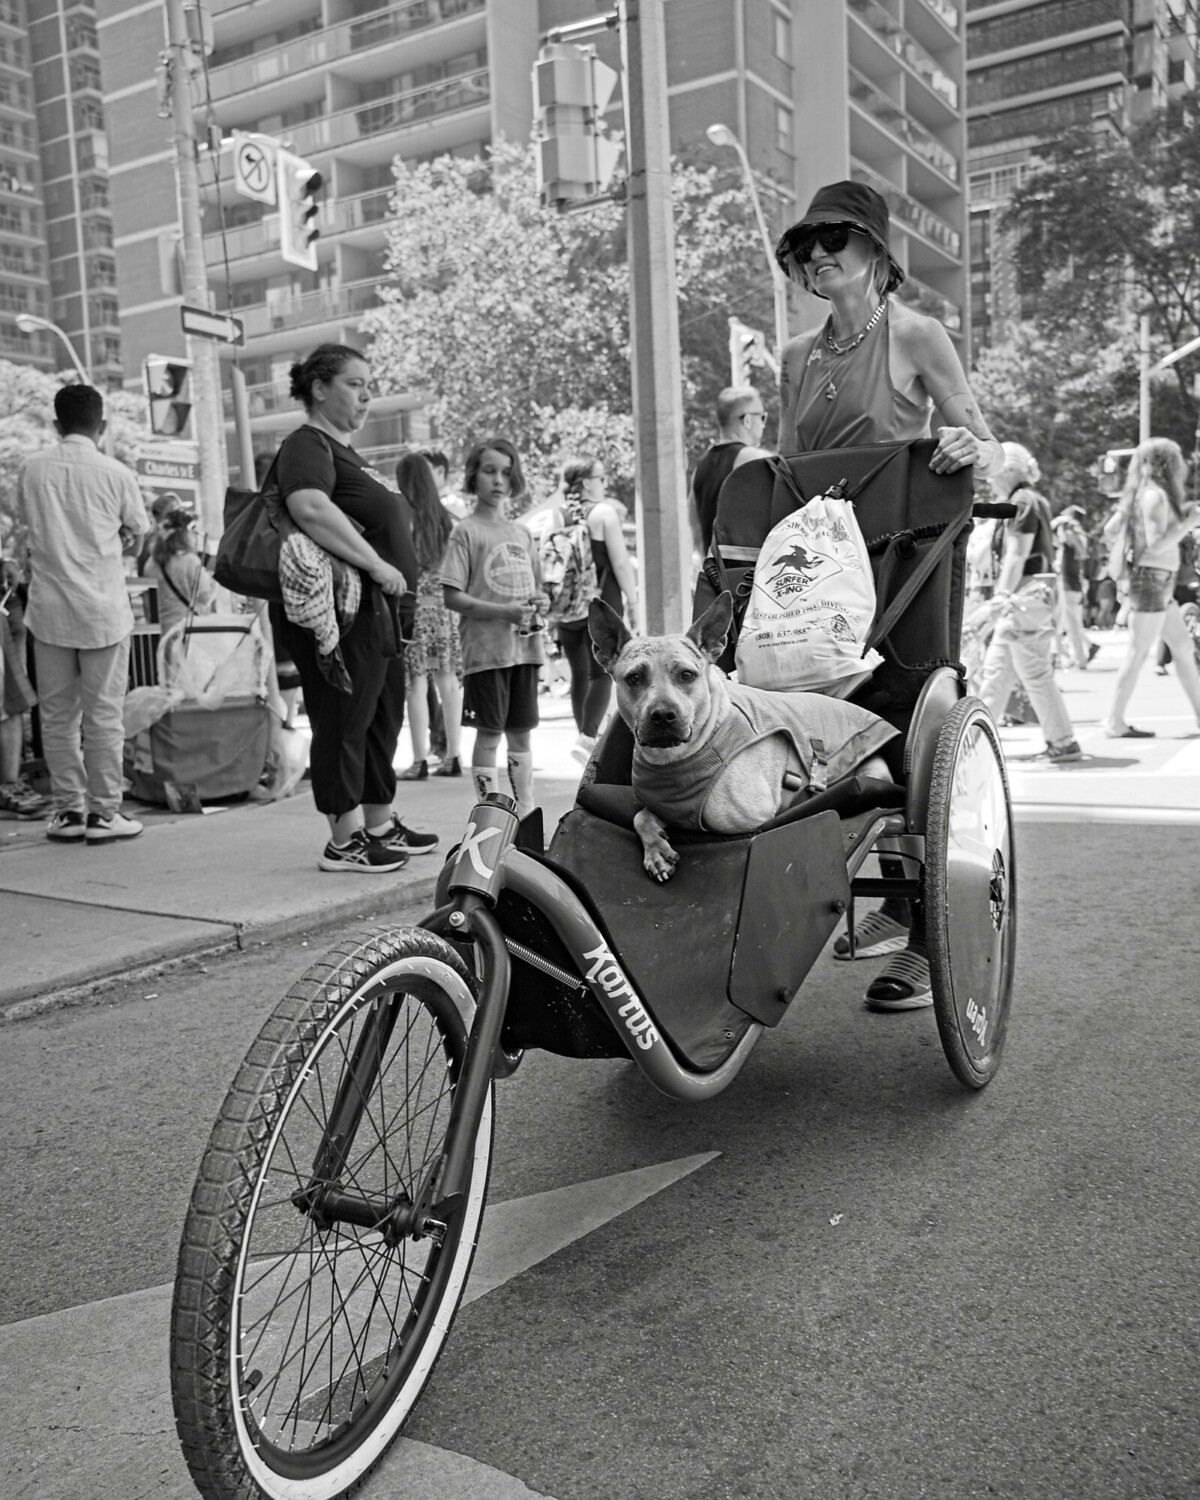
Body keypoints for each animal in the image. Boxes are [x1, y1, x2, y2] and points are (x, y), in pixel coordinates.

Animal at [164, 435, 1020, 1500]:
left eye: (686, 677)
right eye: (630, 678)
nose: (657, 724)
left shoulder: (754, 801)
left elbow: (760, 807)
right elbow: (643, 811)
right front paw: (652, 836)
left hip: (936, 779)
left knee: (910, 803)